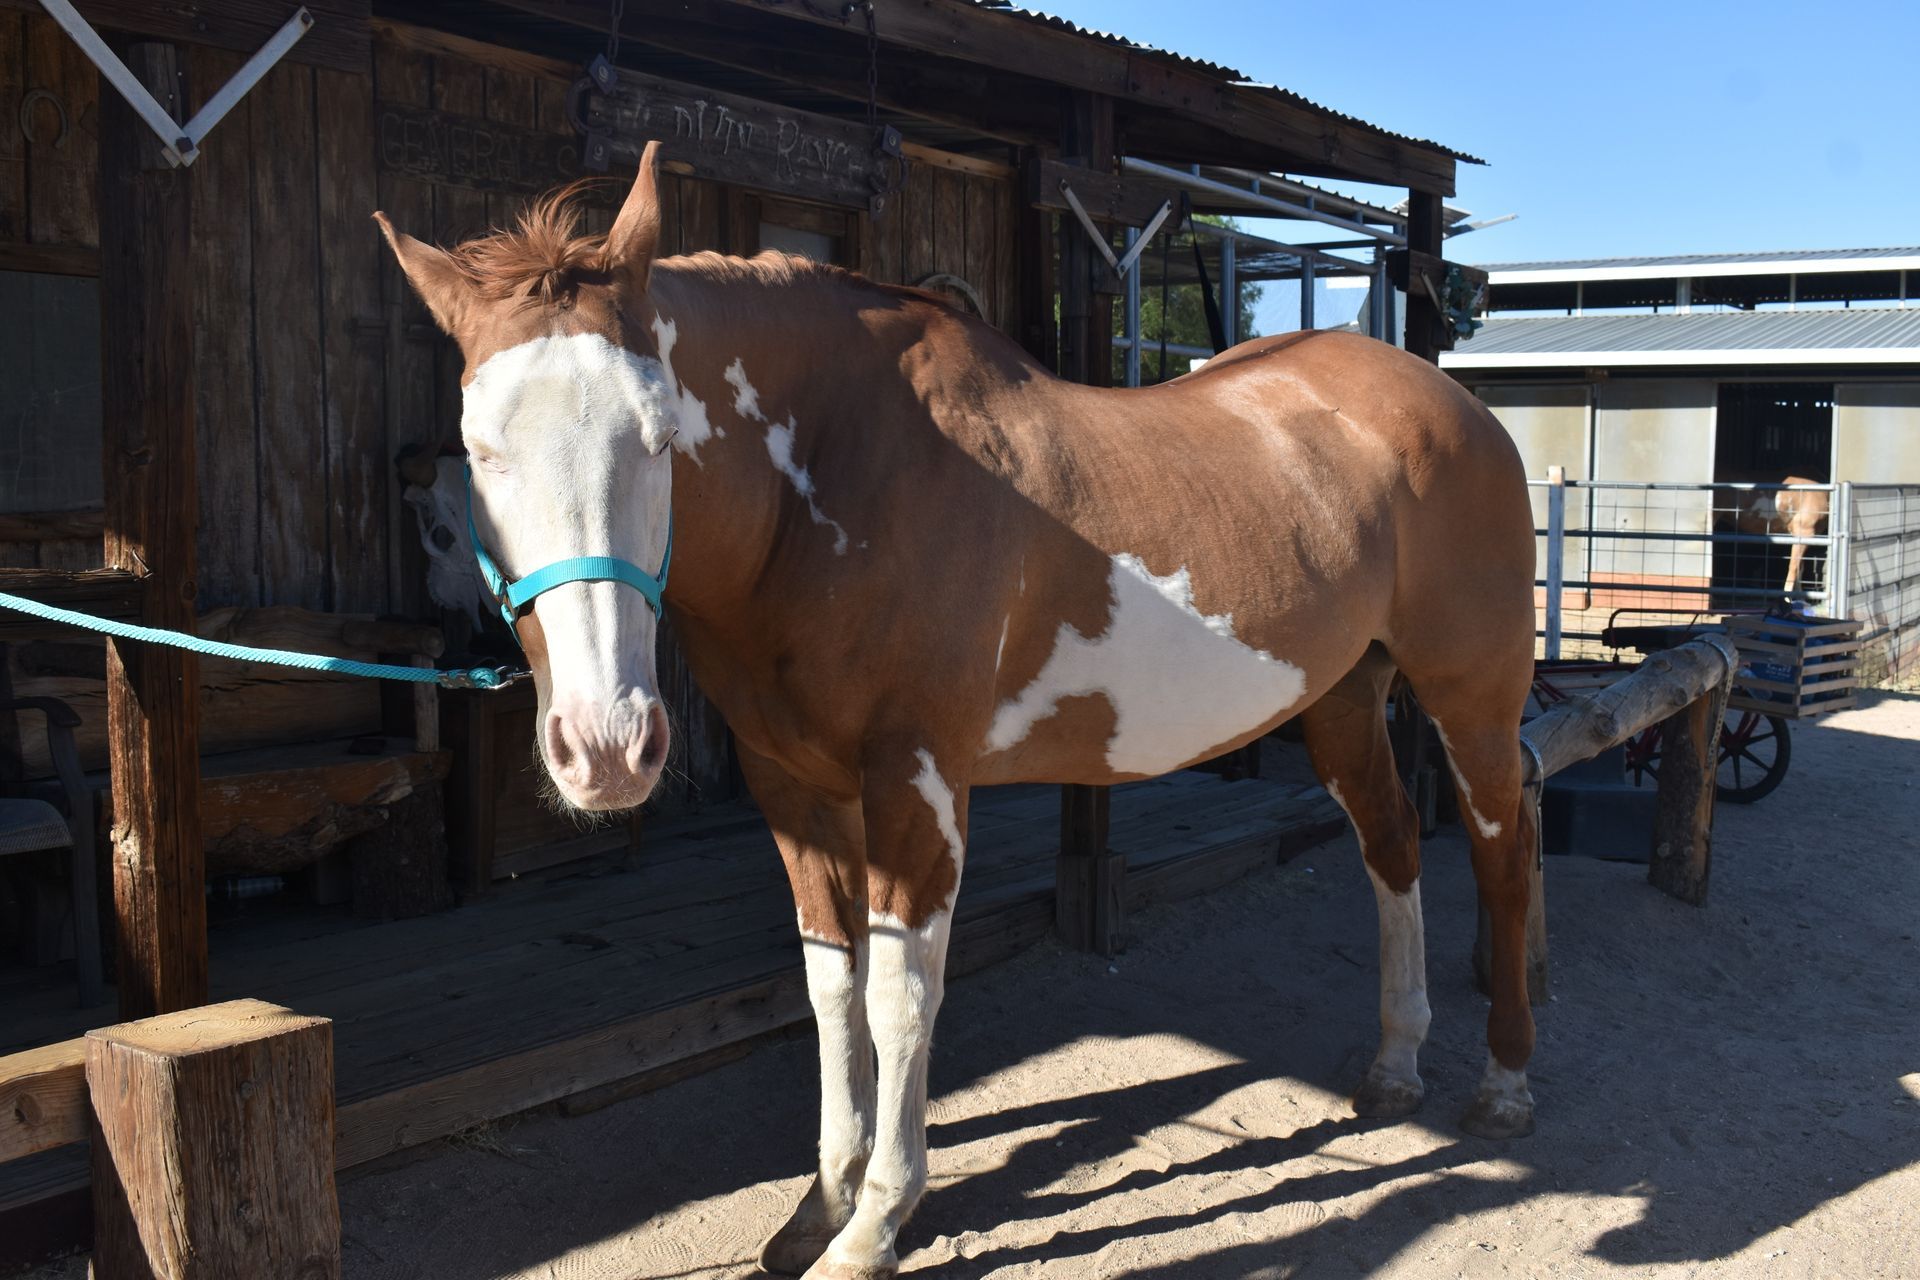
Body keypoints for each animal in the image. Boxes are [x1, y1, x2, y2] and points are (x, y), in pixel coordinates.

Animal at [375, 144, 1543, 1279]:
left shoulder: (918, 781)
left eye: (662, 435)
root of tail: (1456, 405)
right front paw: (820, 1202)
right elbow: (830, 987)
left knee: (1501, 851)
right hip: (1344, 699)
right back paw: (1394, 1066)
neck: (838, 476)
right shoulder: (794, 788)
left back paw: (1503, 1085)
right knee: (1392, 846)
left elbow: (900, 994)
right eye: (480, 451)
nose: (610, 746)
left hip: (1471, 697)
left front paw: (874, 1225)